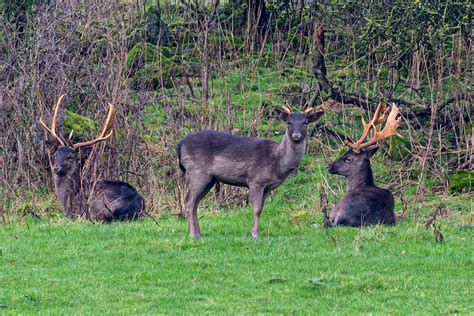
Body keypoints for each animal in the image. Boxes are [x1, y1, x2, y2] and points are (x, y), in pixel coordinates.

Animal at [178, 105, 326, 238]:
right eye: (289, 123)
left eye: (305, 123)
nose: (296, 135)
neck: (277, 162)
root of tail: (179, 144)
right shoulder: (255, 180)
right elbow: (257, 209)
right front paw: (254, 234)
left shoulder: (267, 187)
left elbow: (261, 208)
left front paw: (254, 232)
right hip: (198, 171)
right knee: (189, 200)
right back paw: (193, 234)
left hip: (210, 179)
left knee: (195, 202)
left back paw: (198, 233)